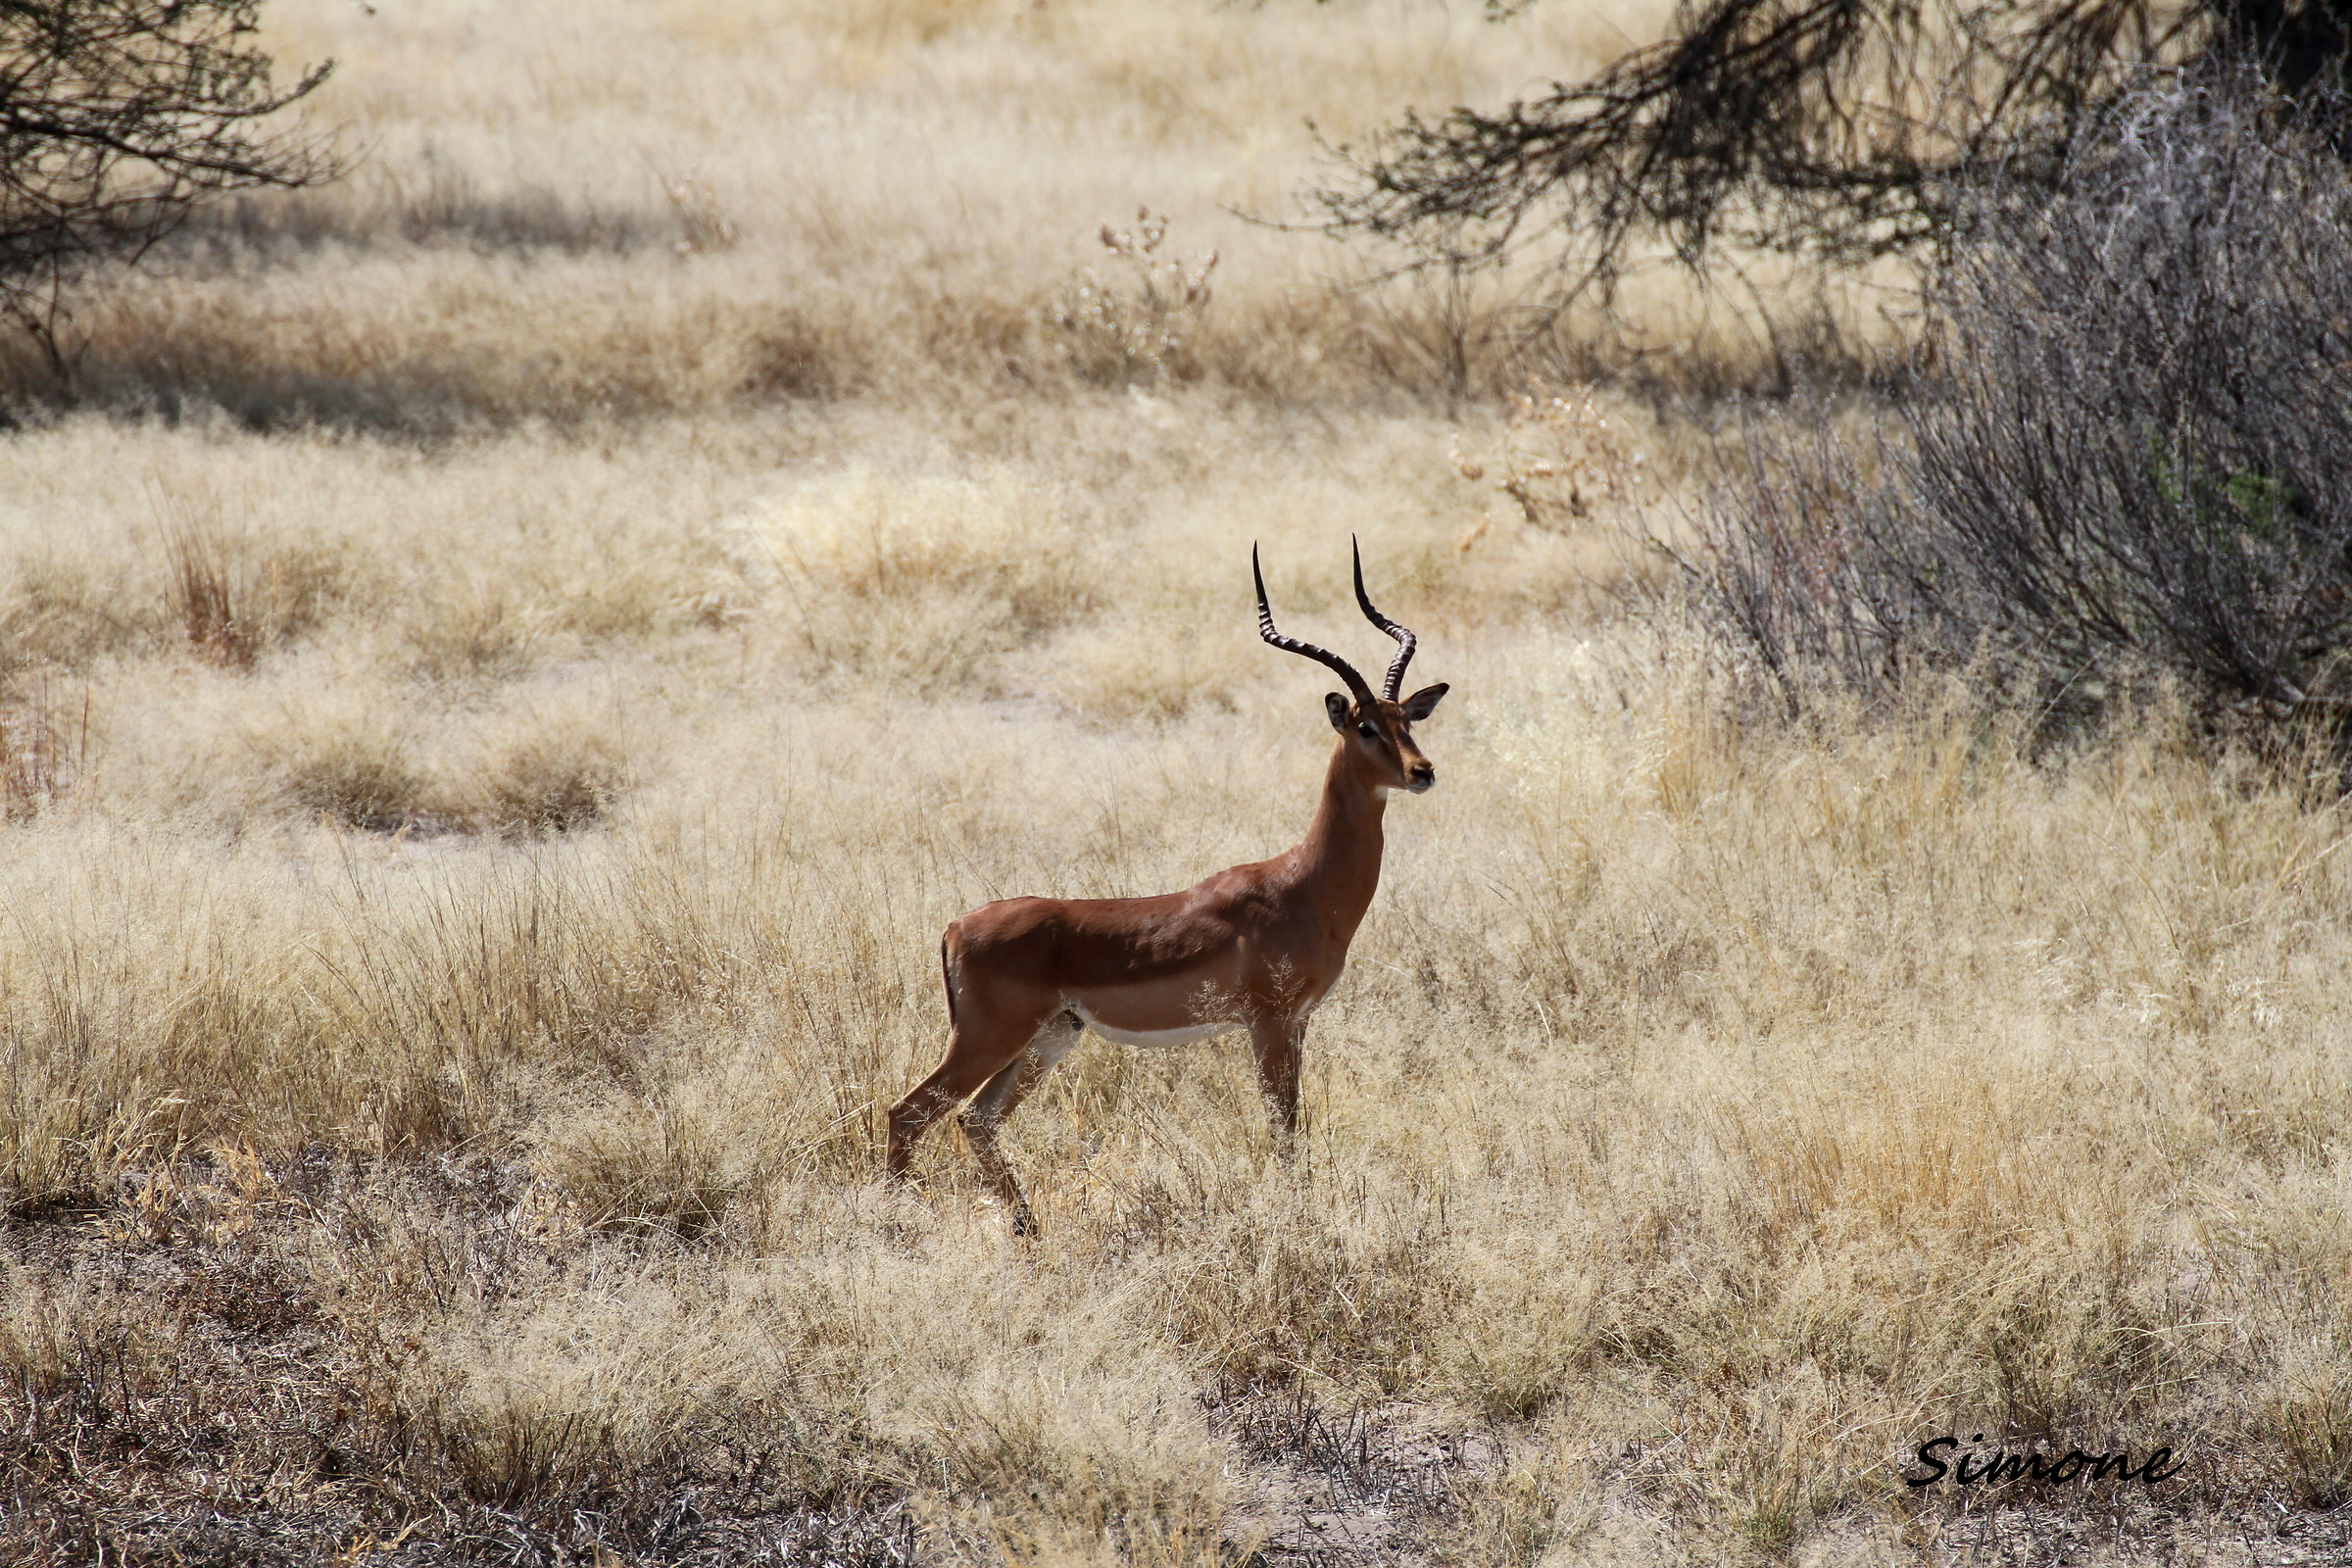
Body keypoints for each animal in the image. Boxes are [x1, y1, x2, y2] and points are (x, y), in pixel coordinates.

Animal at [884, 540, 1448, 1234]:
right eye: (1365, 726)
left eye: (1406, 720)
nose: (1422, 772)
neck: (1302, 887)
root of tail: (956, 926)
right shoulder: (1268, 1022)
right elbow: (1282, 1129)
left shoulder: (1299, 1023)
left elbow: (1297, 1128)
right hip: (989, 1038)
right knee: (909, 1113)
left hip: (1049, 1037)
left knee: (975, 1121)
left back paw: (1029, 1231)